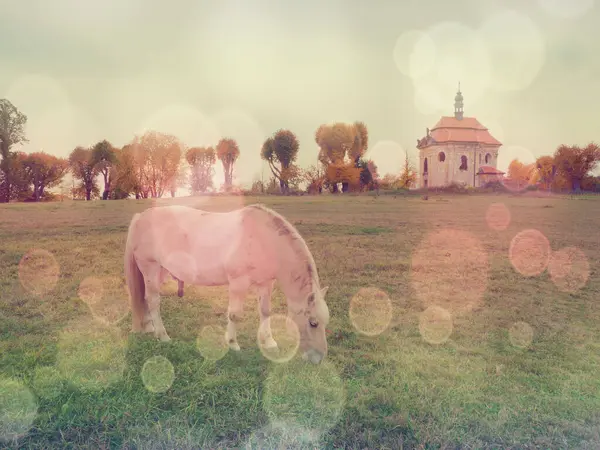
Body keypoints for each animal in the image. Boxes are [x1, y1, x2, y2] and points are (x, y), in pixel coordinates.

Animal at [123, 202, 330, 364]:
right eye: (313, 323)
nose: (319, 358)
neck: (263, 239)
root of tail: (141, 217)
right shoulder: (239, 283)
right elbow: (235, 315)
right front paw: (232, 344)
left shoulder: (265, 283)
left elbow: (265, 312)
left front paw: (269, 342)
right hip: (150, 268)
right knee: (153, 301)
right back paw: (162, 335)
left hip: (159, 272)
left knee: (146, 299)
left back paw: (149, 327)